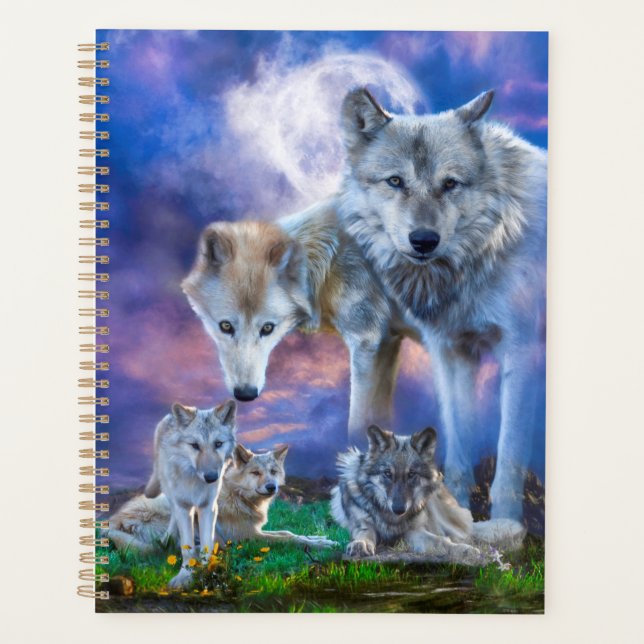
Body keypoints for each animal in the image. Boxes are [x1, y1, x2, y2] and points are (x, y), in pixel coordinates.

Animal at [108, 444, 337, 555]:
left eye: (273, 471)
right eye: (256, 473)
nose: (272, 487)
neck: (238, 495)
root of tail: (112, 523)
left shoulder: (255, 530)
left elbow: (288, 532)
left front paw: (322, 539)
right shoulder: (249, 537)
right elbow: (289, 539)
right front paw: (321, 546)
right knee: (171, 546)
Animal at [141, 399, 237, 588]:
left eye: (218, 444)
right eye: (195, 446)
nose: (211, 477)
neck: (194, 482)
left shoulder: (208, 507)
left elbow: (207, 543)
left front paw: (208, 572)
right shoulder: (183, 507)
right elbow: (187, 547)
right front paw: (185, 575)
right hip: (170, 493)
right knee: (173, 516)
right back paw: (166, 540)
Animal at [181, 200, 406, 437]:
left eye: (267, 328)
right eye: (225, 326)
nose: (246, 394)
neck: (328, 266)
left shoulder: (367, 342)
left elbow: (359, 422)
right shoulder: (387, 344)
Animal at [331, 425, 524, 562]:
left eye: (411, 474)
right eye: (387, 474)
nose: (399, 509)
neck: (392, 520)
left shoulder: (414, 532)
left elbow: (441, 541)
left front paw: (463, 551)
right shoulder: (363, 526)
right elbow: (364, 534)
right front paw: (360, 545)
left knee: (463, 533)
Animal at [337, 88, 547, 520]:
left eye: (450, 183)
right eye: (396, 181)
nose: (424, 240)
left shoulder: (522, 352)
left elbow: (509, 458)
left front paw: (504, 526)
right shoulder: (451, 352)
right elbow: (457, 449)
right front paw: (457, 514)